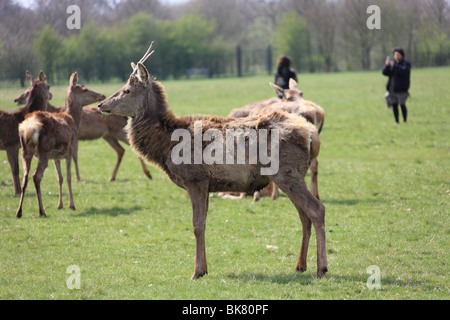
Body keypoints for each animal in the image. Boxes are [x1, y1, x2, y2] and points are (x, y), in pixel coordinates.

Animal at [14, 79, 153, 182]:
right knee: (120, 150)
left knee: (131, 147)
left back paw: (148, 174)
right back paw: (112, 177)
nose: (16, 99)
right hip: (108, 135)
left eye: (28, 92)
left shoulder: (76, 136)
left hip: (119, 131)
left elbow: (75, 155)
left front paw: (78, 177)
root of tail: (125, 116)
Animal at [15, 72, 105, 218]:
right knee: (36, 176)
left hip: (25, 150)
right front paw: (72, 205)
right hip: (44, 149)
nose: (102, 96)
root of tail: (29, 129)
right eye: (84, 89)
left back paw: (19, 212)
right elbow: (68, 177)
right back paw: (42, 211)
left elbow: (60, 178)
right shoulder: (70, 150)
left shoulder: (55, 157)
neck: (73, 120)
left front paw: (60, 205)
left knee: (25, 177)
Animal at [96, 43, 326, 280]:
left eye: (127, 90)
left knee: (317, 209)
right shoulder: (207, 184)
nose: (101, 104)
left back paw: (321, 268)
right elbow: (204, 223)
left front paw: (197, 271)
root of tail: (312, 135)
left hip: (287, 173)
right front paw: (204, 268)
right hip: (292, 175)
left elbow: (197, 225)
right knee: (304, 215)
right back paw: (300, 265)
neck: (166, 145)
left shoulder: (195, 179)